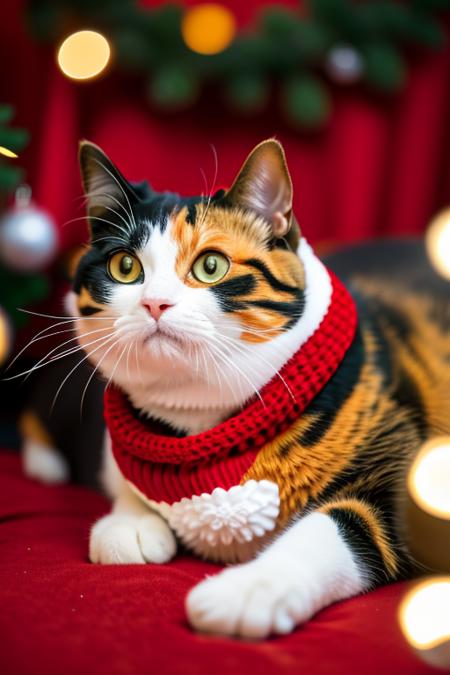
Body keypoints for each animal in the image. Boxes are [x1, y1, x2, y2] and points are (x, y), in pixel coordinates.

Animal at [67, 139, 450, 640]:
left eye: (211, 266)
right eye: (125, 266)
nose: (155, 303)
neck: (198, 426)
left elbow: (330, 530)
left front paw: (249, 590)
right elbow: (122, 479)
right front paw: (129, 522)